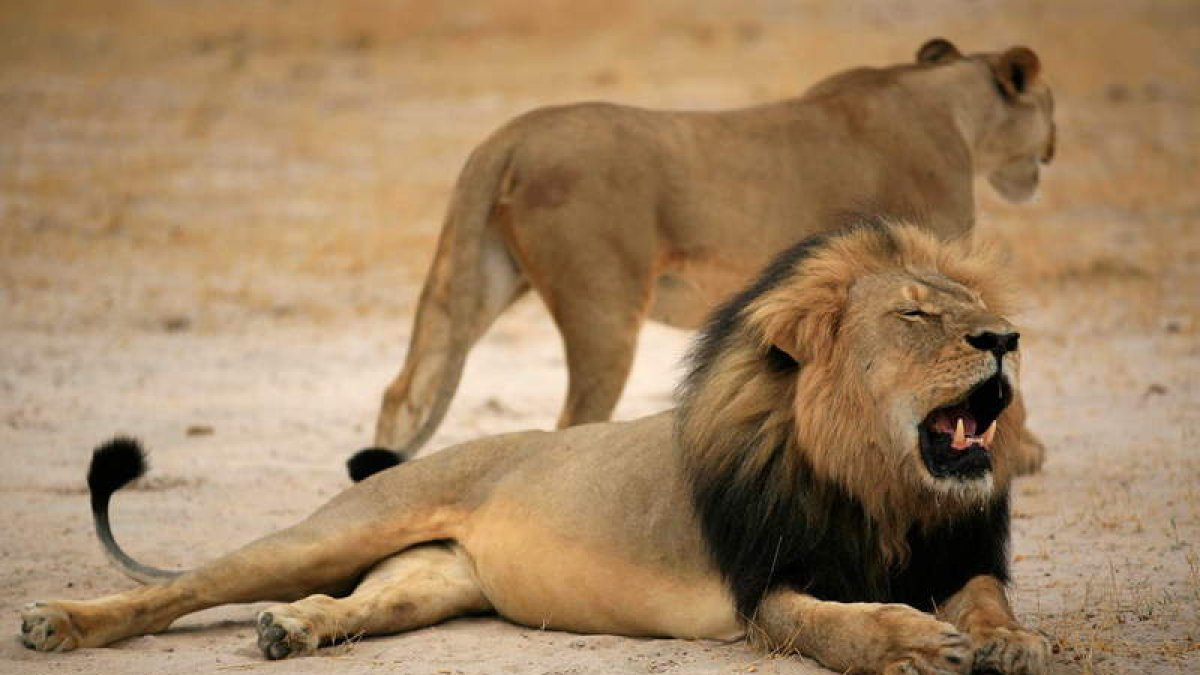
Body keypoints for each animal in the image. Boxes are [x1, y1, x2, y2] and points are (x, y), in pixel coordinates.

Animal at [21, 223, 1049, 674]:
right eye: (918, 316)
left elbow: (988, 597)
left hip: (429, 579)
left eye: (975, 309)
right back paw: (59, 623)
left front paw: (1011, 642)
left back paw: (295, 630)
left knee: (352, 602)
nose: (1006, 337)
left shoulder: (955, 551)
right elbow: (836, 625)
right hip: (335, 529)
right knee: (179, 589)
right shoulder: (765, 586)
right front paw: (912, 641)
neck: (883, 487)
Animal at [370, 38, 1056, 473]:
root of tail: (509, 134)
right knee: (573, 420)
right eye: (1049, 104)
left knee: (405, 389)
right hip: (603, 306)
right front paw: (1019, 453)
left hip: (479, 277)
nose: (1050, 149)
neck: (950, 104)